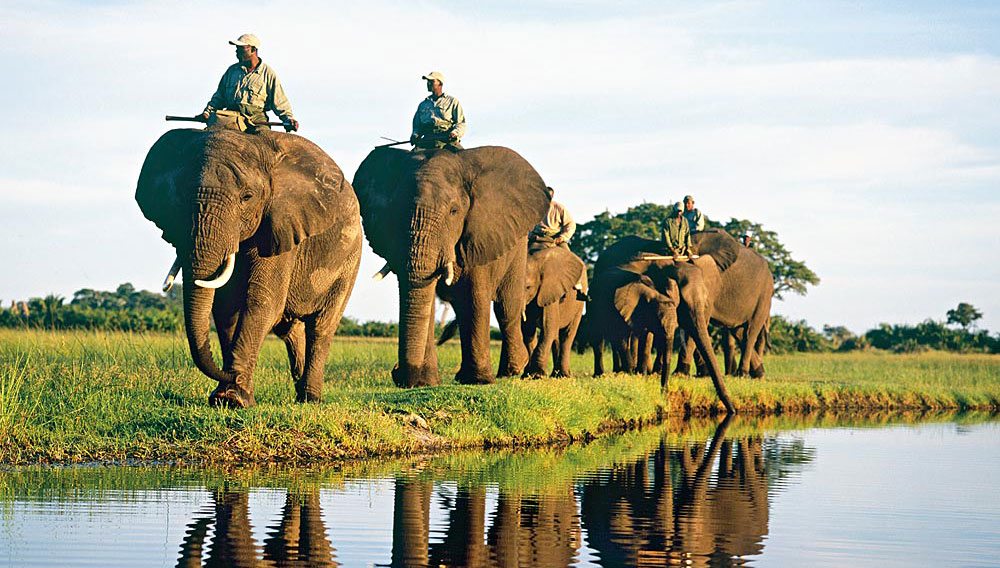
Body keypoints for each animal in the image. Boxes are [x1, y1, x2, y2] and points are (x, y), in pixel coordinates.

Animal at [136, 125, 364, 408]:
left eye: (247, 197)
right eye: (179, 195)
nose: (228, 372)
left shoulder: (281, 226)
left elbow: (263, 302)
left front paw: (232, 399)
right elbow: (226, 307)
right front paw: (226, 396)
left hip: (350, 259)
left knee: (322, 326)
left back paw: (311, 399)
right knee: (289, 329)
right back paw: (301, 395)